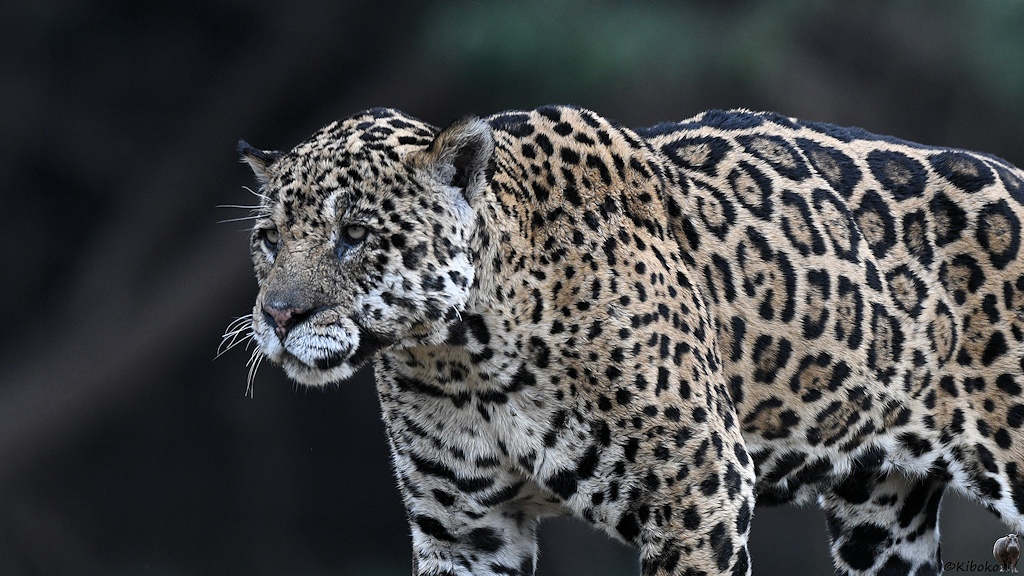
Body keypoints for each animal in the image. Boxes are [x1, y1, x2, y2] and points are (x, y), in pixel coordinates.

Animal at [234, 104, 1024, 576]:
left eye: (353, 236)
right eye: (269, 240)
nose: (278, 317)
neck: (464, 353)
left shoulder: (700, 487)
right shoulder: (462, 528)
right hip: (880, 523)